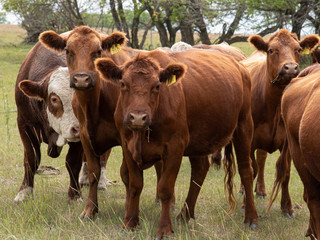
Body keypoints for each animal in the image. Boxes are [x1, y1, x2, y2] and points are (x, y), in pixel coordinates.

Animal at [95, 48, 258, 238]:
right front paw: (129, 223)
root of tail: (239, 66)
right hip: (198, 140)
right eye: (122, 84)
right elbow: (135, 185)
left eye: (157, 86)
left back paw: (251, 218)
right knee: (200, 170)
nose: (138, 117)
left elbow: (165, 189)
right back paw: (185, 214)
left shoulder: (175, 147)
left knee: (246, 170)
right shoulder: (127, 147)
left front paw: (164, 229)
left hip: (244, 126)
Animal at [241, 29, 318, 216]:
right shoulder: (249, 138)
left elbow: (285, 170)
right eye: (271, 50)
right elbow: (250, 168)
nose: (290, 68)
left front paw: (287, 206)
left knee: (261, 159)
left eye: (298, 49)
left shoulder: (288, 142)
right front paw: (247, 203)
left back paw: (261, 190)